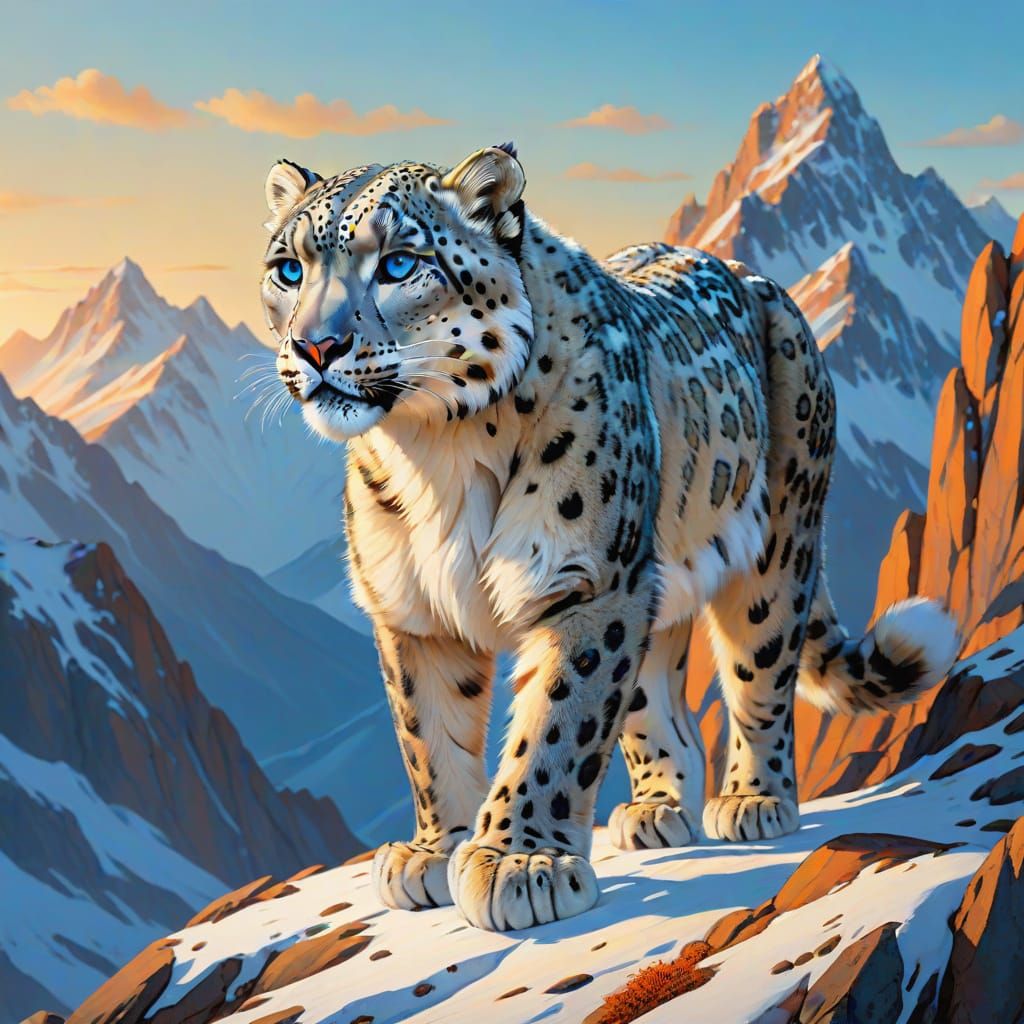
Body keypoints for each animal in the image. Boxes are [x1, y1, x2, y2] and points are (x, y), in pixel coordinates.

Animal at [260, 144, 960, 932]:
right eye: (289, 269)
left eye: (401, 262)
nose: (316, 345)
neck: (436, 456)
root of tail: (752, 276)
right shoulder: (413, 610)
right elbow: (428, 734)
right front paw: (435, 852)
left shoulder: (586, 583)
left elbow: (557, 723)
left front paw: (519, 863)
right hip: (652, 575)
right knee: (658, 699)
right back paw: (657, 809)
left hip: (771, 547)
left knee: (760, 670)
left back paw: (754, 800)